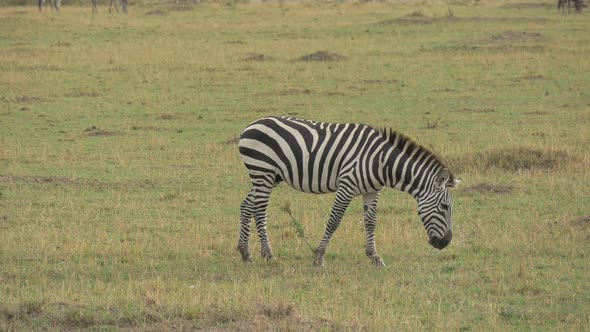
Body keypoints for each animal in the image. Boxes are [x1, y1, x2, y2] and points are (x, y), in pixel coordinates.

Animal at [238, 116, 460, 268]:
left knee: (246, 206)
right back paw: (268, 254)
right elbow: (334, 220)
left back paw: (245, 253)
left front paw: (374, 257)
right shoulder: (346, 185)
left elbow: (371, 222)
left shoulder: (372, 191)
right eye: (444, 206)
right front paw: (319, 256)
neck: (381, 161)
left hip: (269, 177)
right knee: (259, 211)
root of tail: (249, 127)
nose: (446, 242)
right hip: (263, 173)